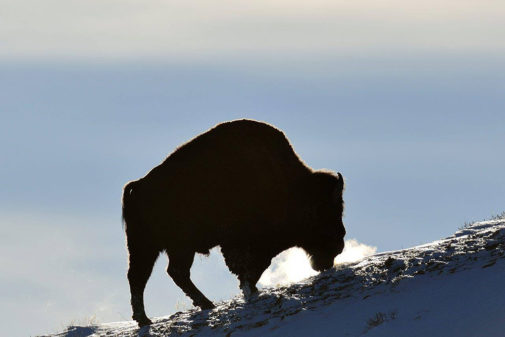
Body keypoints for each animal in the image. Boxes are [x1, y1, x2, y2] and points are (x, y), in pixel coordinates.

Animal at [122, 119, 344, 326]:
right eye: (328, 212)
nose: (339, 245)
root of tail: (139, 186)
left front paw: (251, 289)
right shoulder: (241, 242)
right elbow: (248, 267)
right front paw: (249, 290)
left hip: (155, 248)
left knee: (150, 275)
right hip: (166, 247)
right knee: (156, 275)